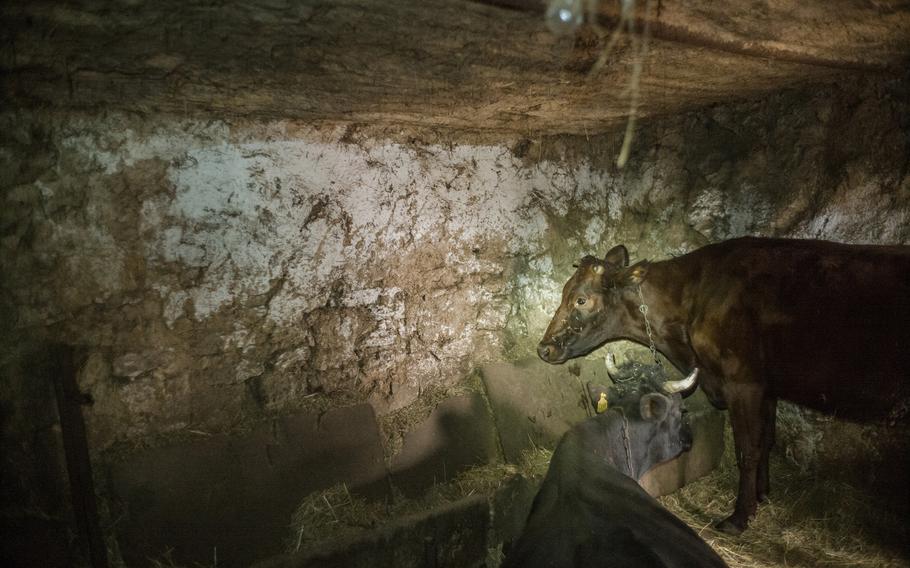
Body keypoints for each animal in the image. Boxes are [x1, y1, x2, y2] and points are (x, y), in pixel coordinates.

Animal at [536, 237, 908, 536]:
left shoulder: (743, 382)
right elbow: (767, 439)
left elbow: (748, 449)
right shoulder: (766, 385)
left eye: (581, 300)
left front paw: (739, 517)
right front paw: (762, 493)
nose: (544, 348)